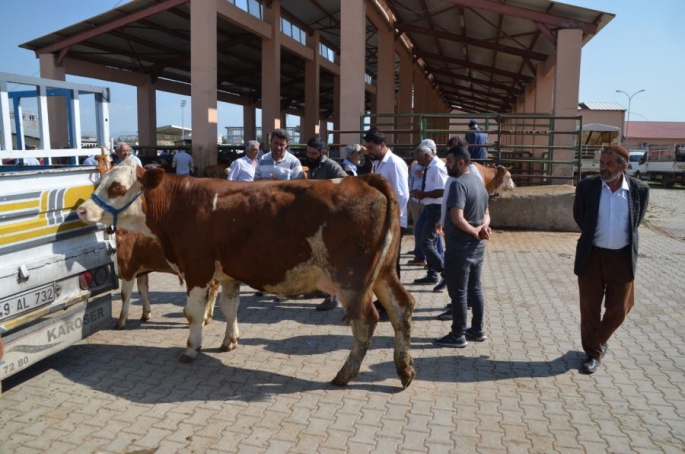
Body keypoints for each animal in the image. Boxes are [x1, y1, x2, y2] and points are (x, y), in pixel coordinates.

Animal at [77, 159, 414, 386]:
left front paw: (191, 349)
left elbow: (193, 314)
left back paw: (345, 374)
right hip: (383, 272)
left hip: (351, 278)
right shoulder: (227, 273)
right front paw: (230, 341)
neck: (182, 203)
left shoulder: (197, 268)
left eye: (117, 187)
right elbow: (229, 307)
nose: (81, 209)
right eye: (101, 180)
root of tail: (365, 179)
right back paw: (404, 369)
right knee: (401, 308)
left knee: (366, 320)